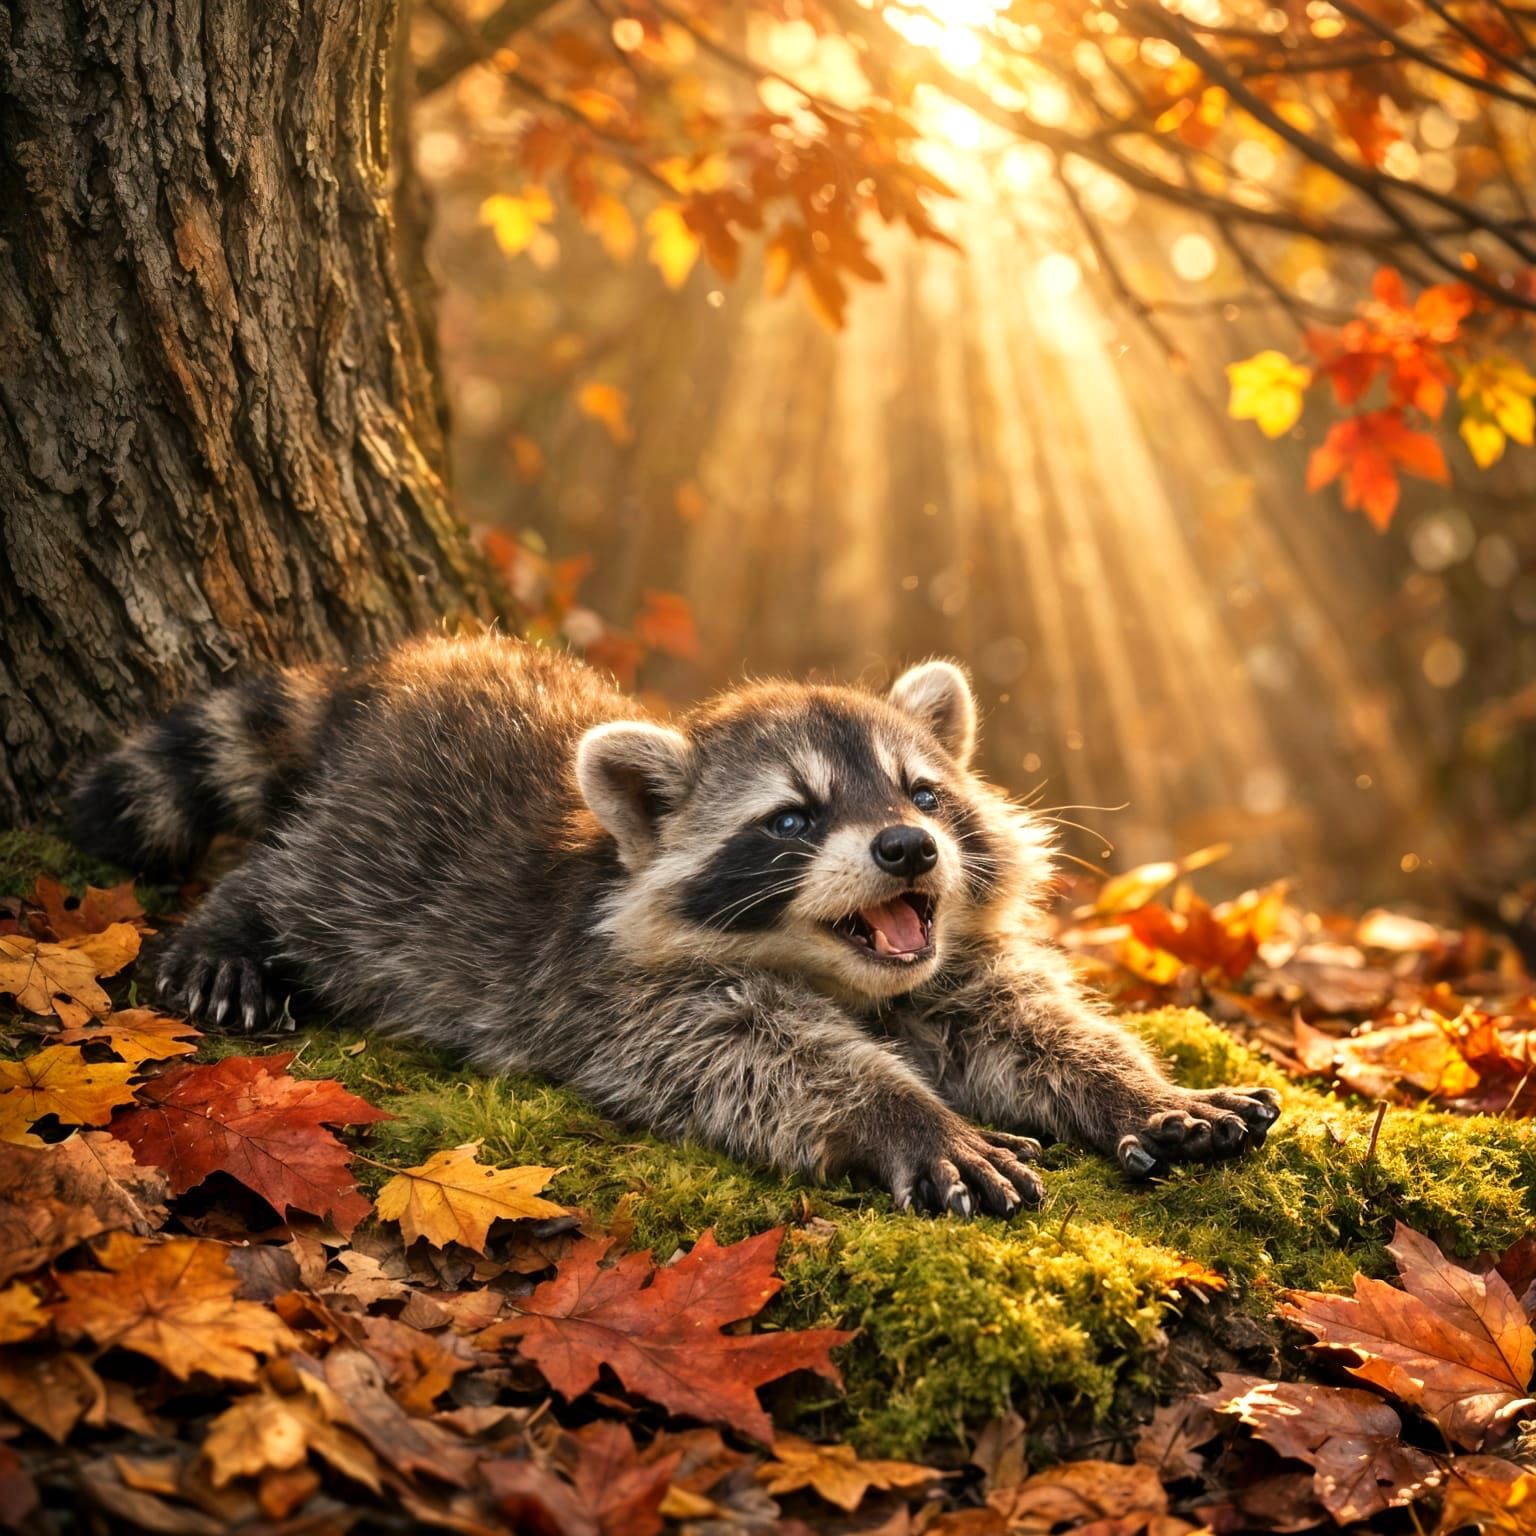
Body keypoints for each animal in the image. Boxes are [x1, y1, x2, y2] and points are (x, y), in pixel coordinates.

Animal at [70, 634, 1279, 1215]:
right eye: (793, 819)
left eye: (922, 794)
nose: (906, 851)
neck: (848, 976)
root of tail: (401, 671)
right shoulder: (625, 998)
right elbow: (751, 1064)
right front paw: (902, 1114)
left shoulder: (945, 965)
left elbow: (1028, 1023)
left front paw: (1138, 1088)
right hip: (375, 855)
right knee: (298, 885)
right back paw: (234, 922)